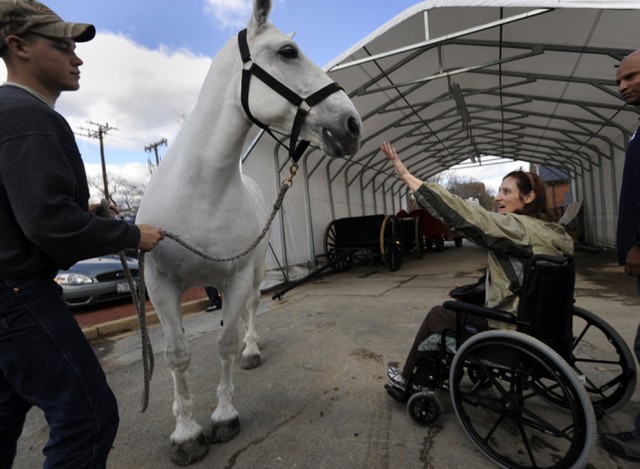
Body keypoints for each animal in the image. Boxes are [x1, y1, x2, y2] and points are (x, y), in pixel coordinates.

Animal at [136, 0, 360, 460]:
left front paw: (224, 417)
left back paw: (250, 349)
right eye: (288, 52)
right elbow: (176, 355)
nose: (352, 124)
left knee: (251, 311)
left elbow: (223, 344)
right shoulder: (160, 283)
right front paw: (186, 432)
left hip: (253, 273)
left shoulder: (237, 276)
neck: (200, 192)